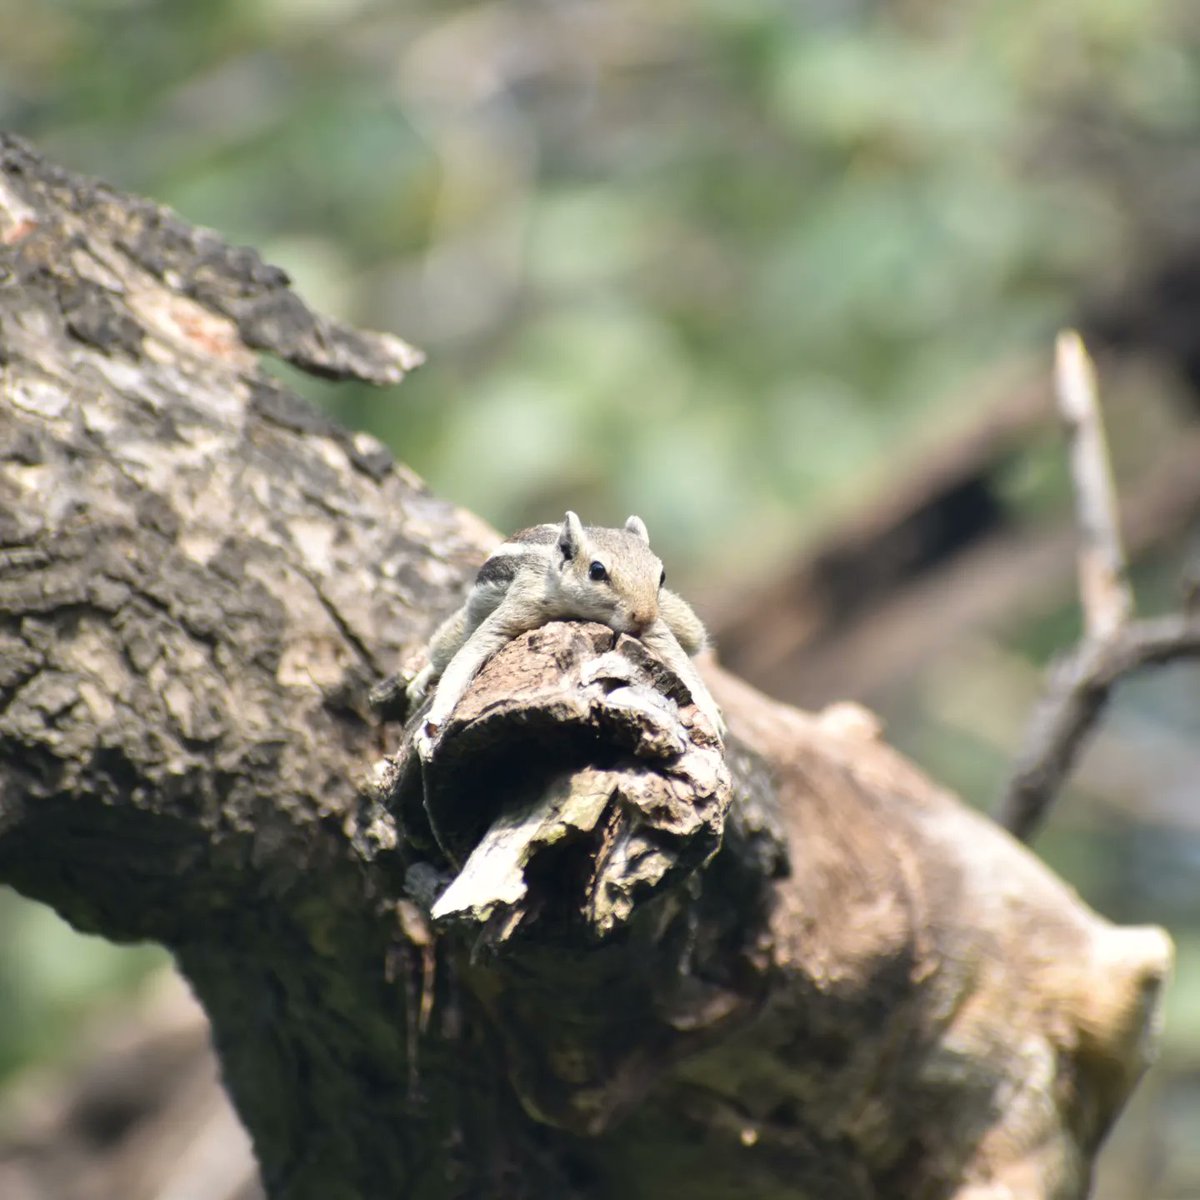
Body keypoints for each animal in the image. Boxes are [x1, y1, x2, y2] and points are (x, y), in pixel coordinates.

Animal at [407, 511, 724, 755]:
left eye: (662, 575)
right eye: (597, 571)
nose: (644, 616)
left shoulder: (657, 629)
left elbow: (680, 661)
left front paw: (711, 713)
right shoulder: (521, 604)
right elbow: (469, 654)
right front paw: (435, 720)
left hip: (685, 622)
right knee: (448, 646)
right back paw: (422, 675)